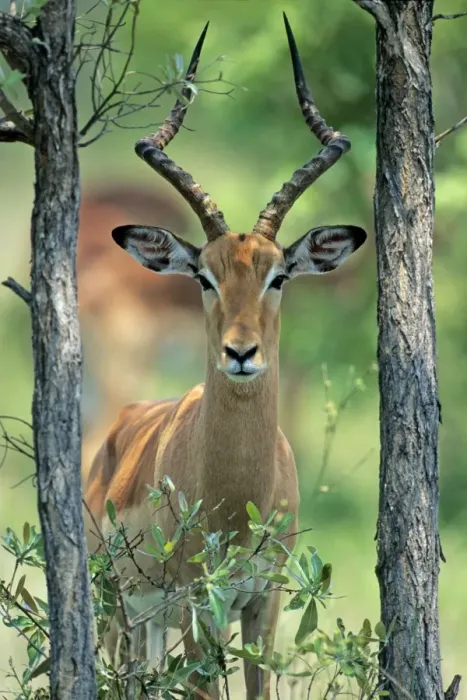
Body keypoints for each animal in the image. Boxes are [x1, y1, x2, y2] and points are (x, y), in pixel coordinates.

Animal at [84, 14, 367, 700]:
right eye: (203, 277)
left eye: (279, 276)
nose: (241, 352)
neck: (237, 498)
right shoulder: (197, 603)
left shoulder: (263, 603)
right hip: (118, 612)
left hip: (148, 626)